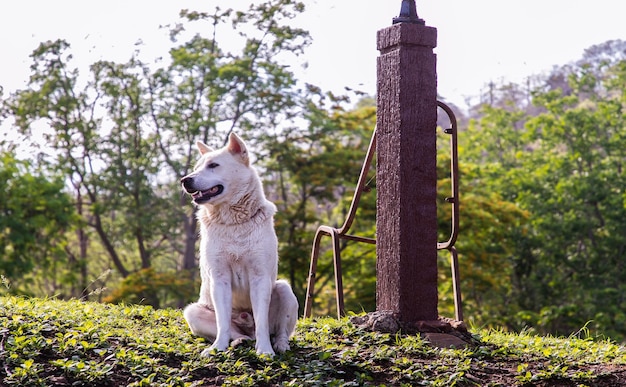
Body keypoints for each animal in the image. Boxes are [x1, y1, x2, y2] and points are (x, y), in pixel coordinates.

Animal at [180, 133, 298, 358]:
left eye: (213, 165)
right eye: (197, 167)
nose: (185, 180)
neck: (233, 223)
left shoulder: (260, 277)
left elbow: (262, 322)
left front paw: (265, 350)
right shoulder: (219, 278)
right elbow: (223, 323)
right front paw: (218, 348)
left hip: (284, 289)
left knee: (279, 331)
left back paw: (279, 344)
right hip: (192, 311)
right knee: (235, 331)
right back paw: (239, 341)